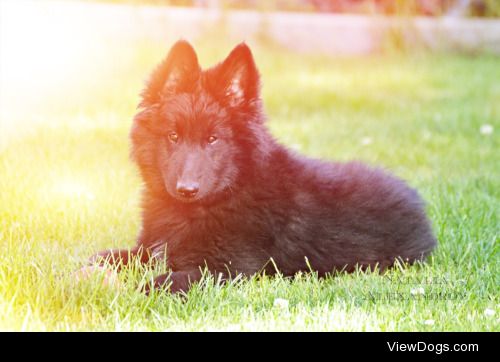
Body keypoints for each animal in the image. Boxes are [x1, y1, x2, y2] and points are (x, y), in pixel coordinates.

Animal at [92, 41, 436, 292]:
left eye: (214, 139)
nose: (187, 189)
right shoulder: (149, 249)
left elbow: (166, 281)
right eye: (173, 136)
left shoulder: (228, 267)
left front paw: (137, 291)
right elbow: (102, 256)